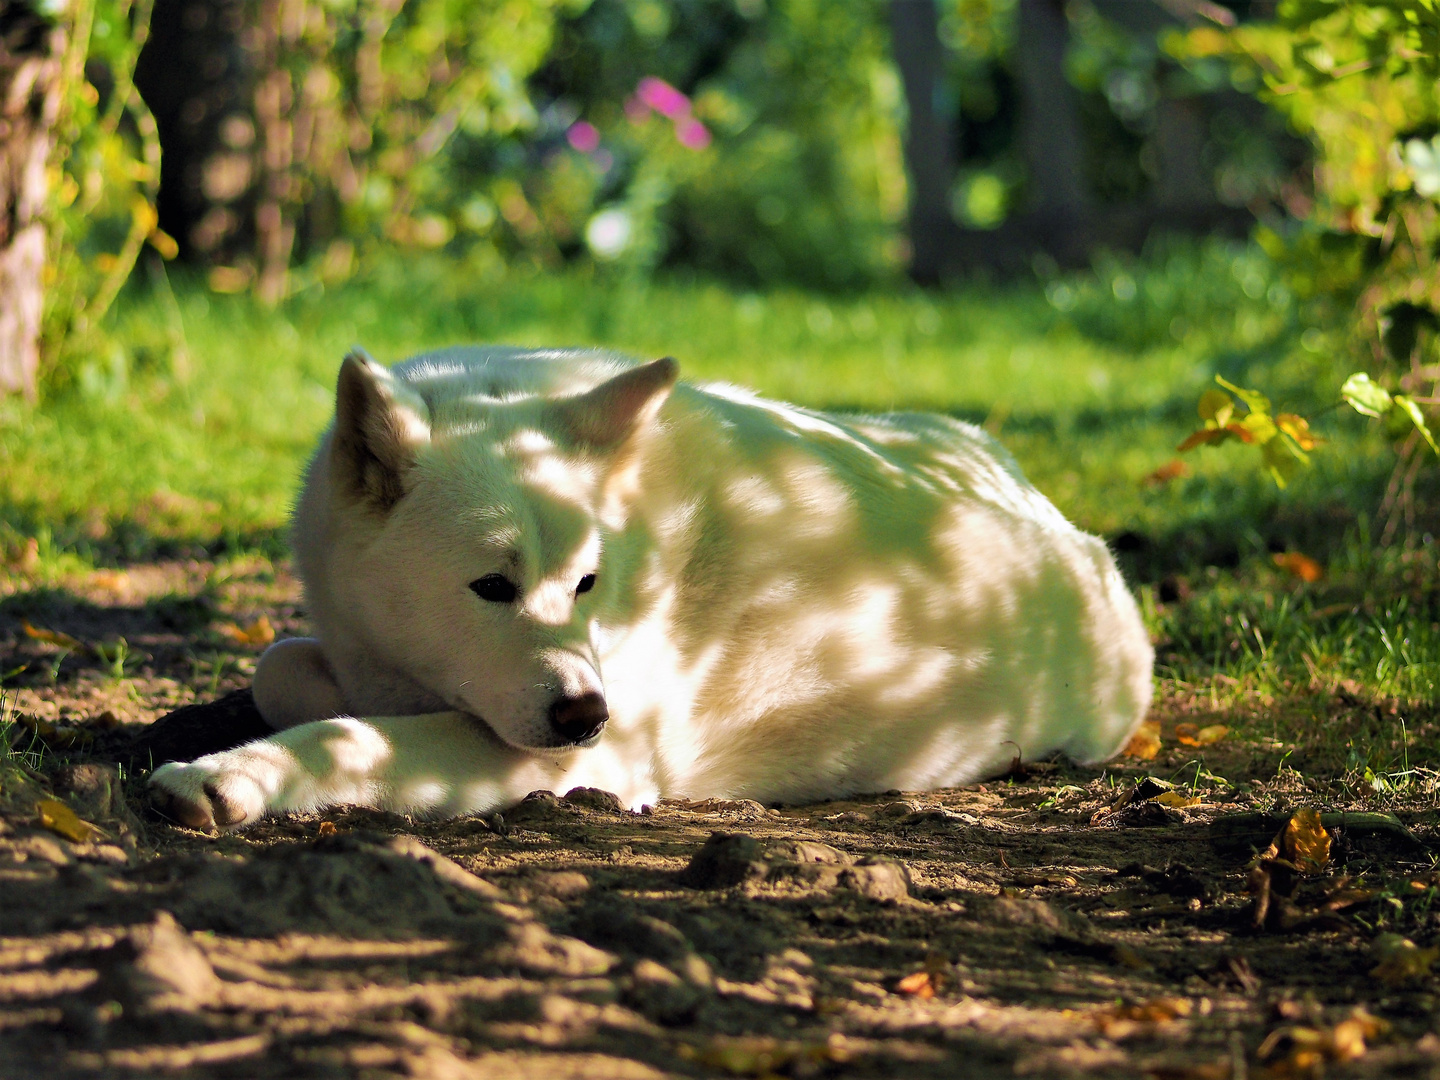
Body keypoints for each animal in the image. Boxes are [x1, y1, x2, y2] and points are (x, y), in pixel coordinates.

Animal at [146, 347, 1152, 829]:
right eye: (491, 587)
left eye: (587, 583)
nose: (587, 714)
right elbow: (284, 669)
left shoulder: (568, 762)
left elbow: (346, 736)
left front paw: (227, 776)